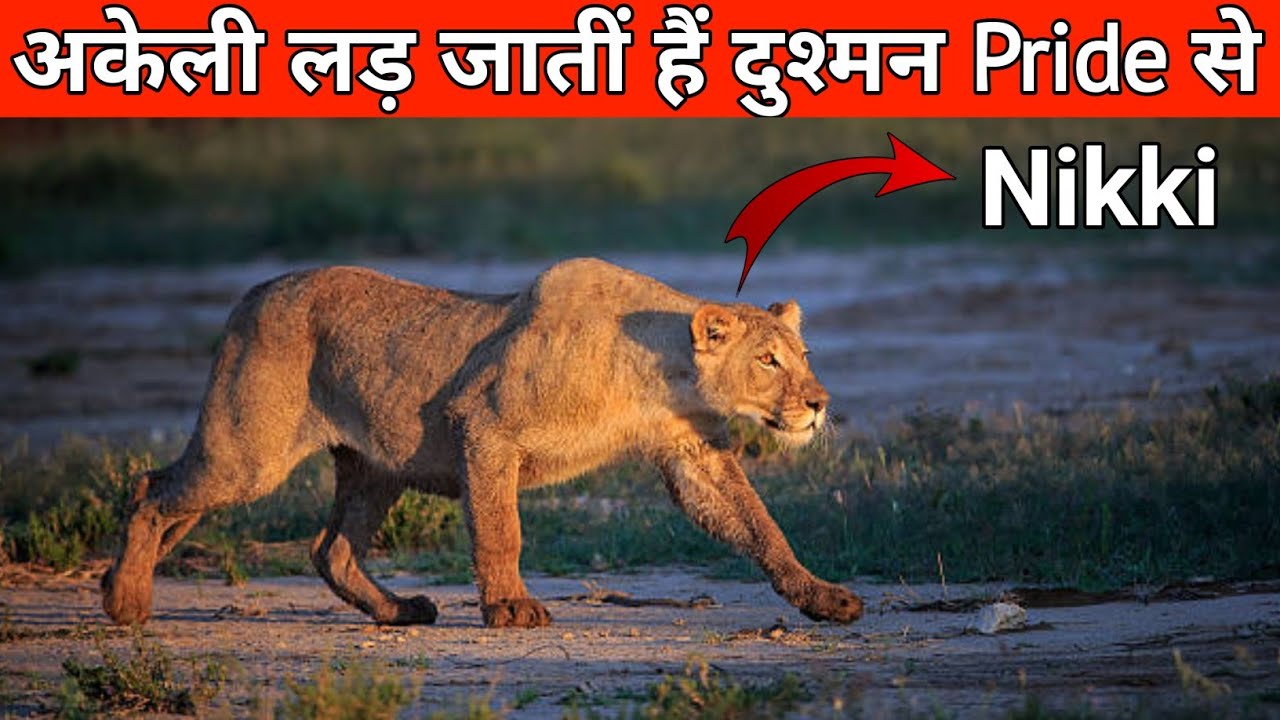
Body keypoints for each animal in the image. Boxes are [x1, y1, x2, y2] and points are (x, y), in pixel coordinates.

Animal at [102, 258, 863, 628]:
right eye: (768, 361)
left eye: (803, 355)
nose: (819, 404)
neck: (658, 371)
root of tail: (253, 290)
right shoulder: (486, 425)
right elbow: (501, 530)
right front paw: (510, 609)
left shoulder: (695, 456)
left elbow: (762, 530)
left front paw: (821, 598)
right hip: (248, 451)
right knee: (149, 489)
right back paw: (125, 602)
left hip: (375, 467)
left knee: (330, 549)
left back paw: (400, 612)